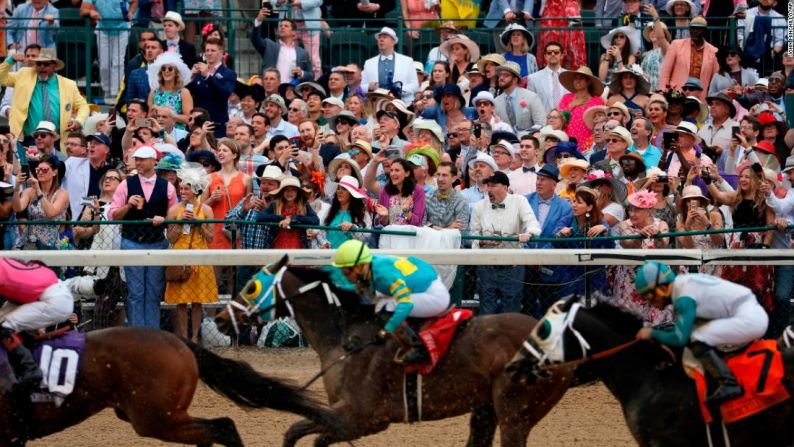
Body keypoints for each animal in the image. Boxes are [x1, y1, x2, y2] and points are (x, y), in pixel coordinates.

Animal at [213, 256, 572, 447]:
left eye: (251, 286)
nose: (219, 319)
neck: (344, 338)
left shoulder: (364, 418)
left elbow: (296, 431)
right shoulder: (345, 419)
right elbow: (309, 435)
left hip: (516, 413)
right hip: (485, 408)